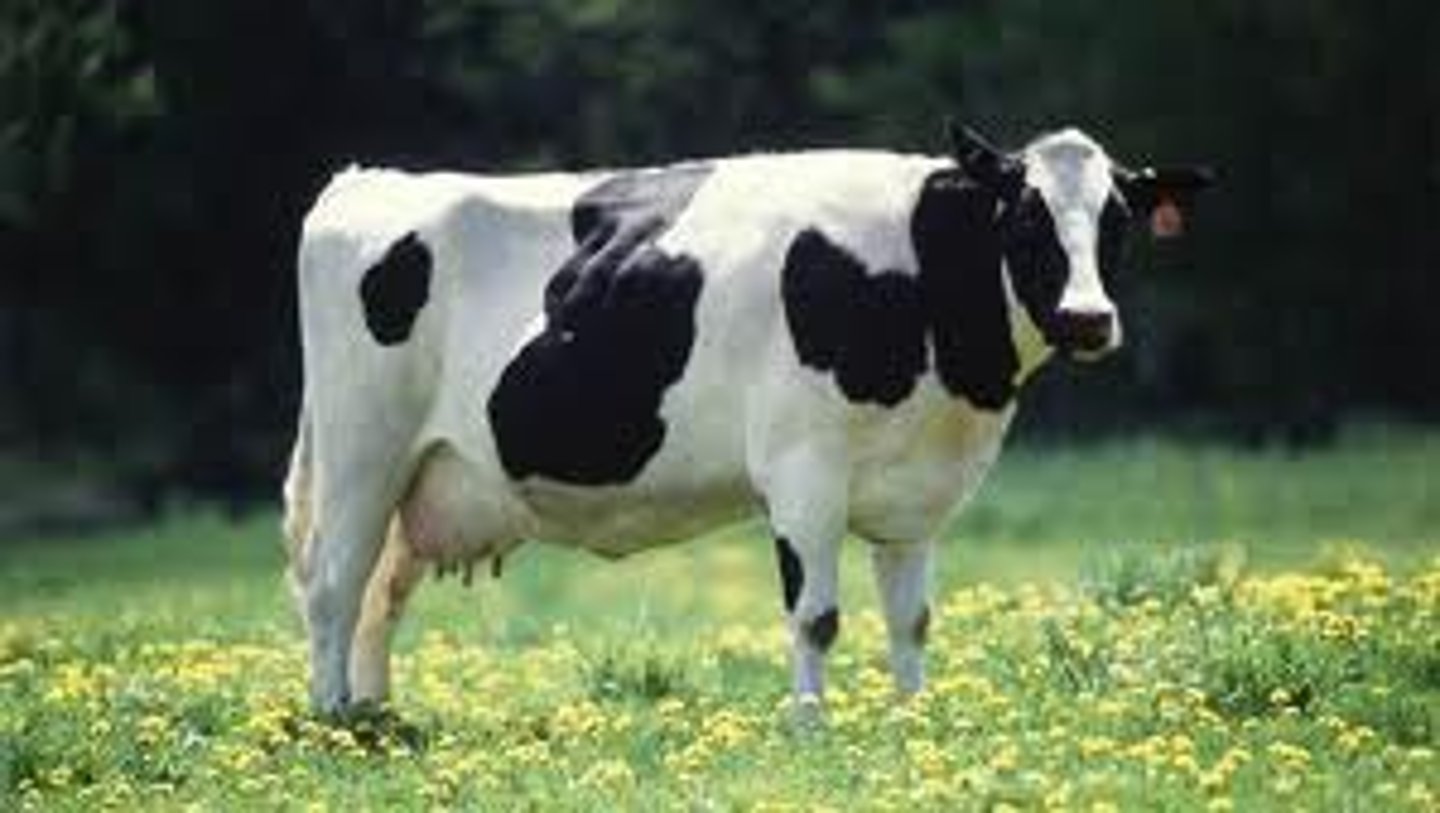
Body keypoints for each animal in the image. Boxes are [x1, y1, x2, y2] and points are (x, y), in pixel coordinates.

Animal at [282, 124, 1211, 714]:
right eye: (1024, 217)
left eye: (1118, 221)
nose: (1089, 318)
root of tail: (366, 180)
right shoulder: (804, 470)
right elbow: (817, 616)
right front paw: (811, 731)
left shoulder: (916, 493)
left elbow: (911, 618)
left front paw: (914, 724)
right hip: (362, 450)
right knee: (332, 586)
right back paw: (333, 720)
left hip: (425, 474)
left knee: (381, 592)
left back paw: (378, 720)